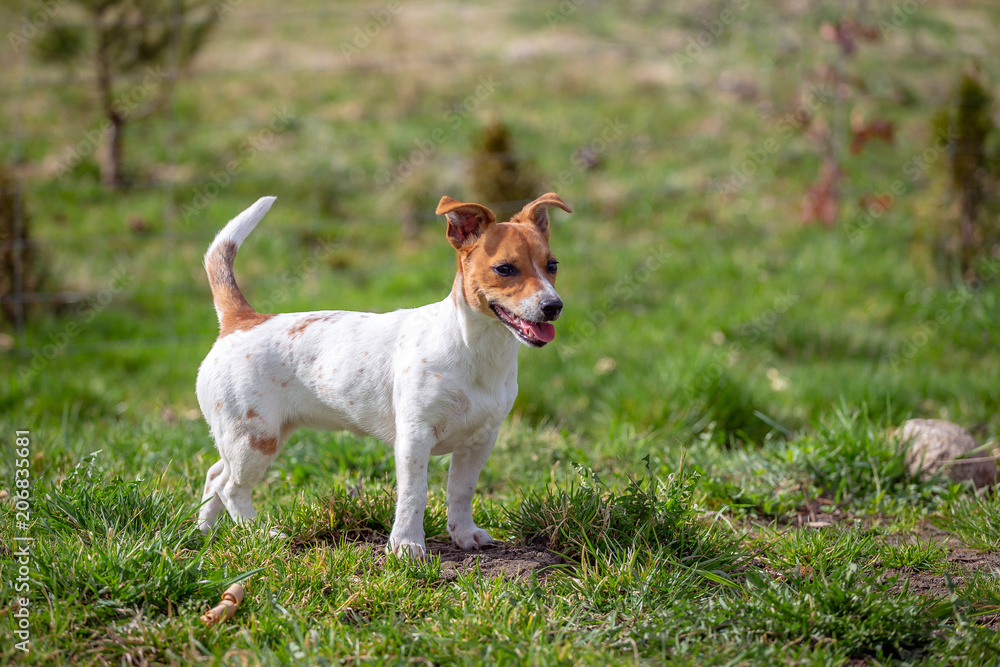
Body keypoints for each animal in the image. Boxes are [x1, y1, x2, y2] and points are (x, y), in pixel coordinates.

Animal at [195, 193, 572, 560]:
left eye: (552, 265)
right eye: (505, 269)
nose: (554, 306)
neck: (477, 348)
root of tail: (242, 319)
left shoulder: (479, 441)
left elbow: (461, 492)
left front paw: (464, 535)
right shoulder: (415, 437)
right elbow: (414, 494)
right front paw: (406, 546)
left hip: (252, 436)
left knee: (215, 476)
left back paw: (203, 533)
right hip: (255, 439)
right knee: (231, 488)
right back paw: (260, 534)